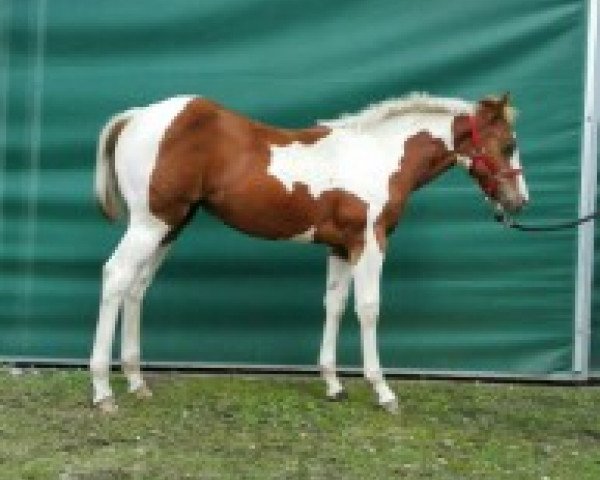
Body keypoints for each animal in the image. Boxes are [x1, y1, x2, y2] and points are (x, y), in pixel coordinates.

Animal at [89, 93, 528, 412]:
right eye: (508, 145)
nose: (519, 202)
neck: (380, 155)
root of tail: (136, 117)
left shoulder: (341, 247)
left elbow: (334, 305)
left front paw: (333, 385)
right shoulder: (370, 242)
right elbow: (368, 308)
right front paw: (383, 391)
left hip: (170, 226)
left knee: (137, 287)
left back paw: (136, 382)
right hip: (150, 224)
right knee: (116, 276)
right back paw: (103, 391)